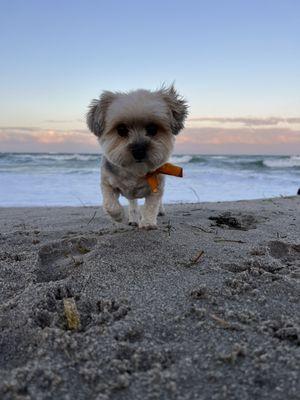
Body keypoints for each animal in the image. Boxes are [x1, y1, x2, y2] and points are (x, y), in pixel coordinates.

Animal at [86, 86, 188, 230]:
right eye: (121, 129)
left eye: (152, 128)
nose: (139, 151)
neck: (135, 172)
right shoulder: (107, 182)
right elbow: (110, 203)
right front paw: (119, 216)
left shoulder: (157, 186)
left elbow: (151, 205)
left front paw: (148, 223)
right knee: (133, 203)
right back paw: (133, 218)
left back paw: (159, 211)